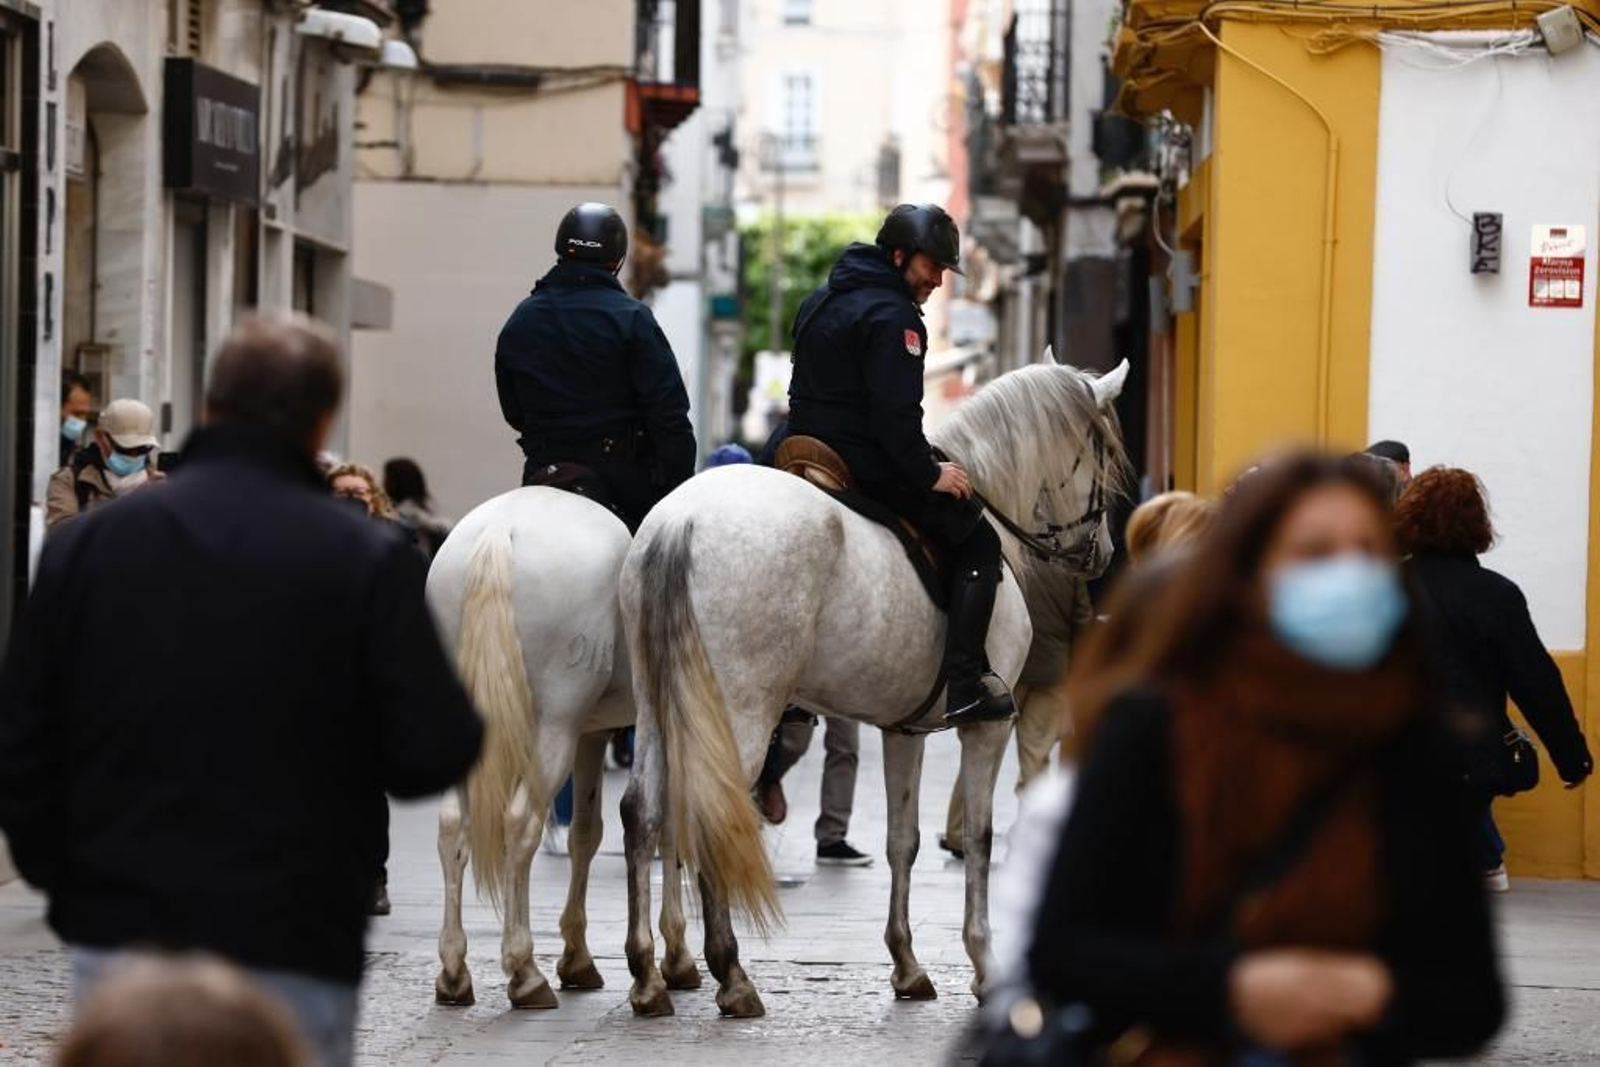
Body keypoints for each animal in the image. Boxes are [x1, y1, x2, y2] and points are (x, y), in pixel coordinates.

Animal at [424, 487, 705, 1008]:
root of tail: (499, 528)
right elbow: (670, 829)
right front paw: (676, 957)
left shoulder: (591, 734)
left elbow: (586, 833)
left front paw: (577, 956)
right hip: (554, 725)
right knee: (520, 823)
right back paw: (523, 971)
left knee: (452, 826)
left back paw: (453, 971)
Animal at [616, 357, 1129, 1017]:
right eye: (1101, 453)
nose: (1103, 555)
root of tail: (683, 521)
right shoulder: (988, 727)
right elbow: (981, 838)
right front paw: (985, 968)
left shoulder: (905, 729)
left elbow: (901, 840)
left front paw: (907, 966)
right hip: (738, 712)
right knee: (711, 813)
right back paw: (730, 974)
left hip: (660, 704)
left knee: (645, 810)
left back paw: (651, 974)